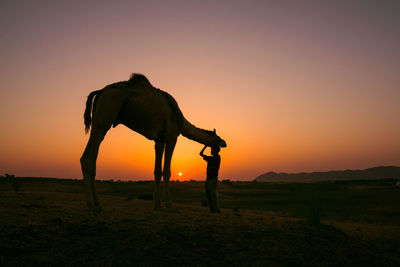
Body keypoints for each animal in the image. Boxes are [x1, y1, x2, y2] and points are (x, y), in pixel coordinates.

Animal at [80, 74, 225, 214]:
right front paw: (170, 206)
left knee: (84, 157)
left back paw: (91, 205)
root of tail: (100, 91)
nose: (224, 143)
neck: (181, 121)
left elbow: (157, 171)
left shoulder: (159, 140)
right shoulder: (171, 137)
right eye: (218, 139)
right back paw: (95, 206)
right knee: (90, 159)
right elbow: (166, 171)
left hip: (98, 123)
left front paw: (157, 206)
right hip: (103, 120)